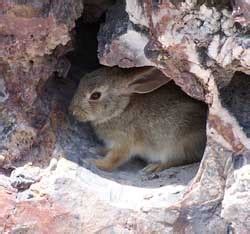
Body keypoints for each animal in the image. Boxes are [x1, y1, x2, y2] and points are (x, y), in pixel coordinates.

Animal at [69, 66, 207, 173]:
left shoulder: (124, 143)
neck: (121, 109)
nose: (74, 112)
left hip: (179, 145)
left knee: (182, 160)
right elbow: (107, 151)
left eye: (95, 95)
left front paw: (93, 162)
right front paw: (96, 149)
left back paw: (154, 167)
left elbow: (113, 160)